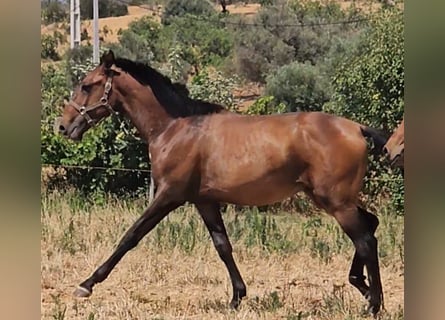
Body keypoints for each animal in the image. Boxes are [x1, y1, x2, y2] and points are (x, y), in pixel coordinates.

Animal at [57, 51, 386, 316]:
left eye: (87, 85)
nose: (63, 126)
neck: (175, 128)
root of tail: (357, 128)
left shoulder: (169, 195)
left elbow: (130, 236)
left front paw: (86, 284)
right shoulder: (204, 201)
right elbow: (222, 245)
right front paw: (237, 297)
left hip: (335, 202)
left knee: (365, 240)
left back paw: (373, 303)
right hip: (336, 199)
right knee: (371, 224)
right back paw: (362, 286)